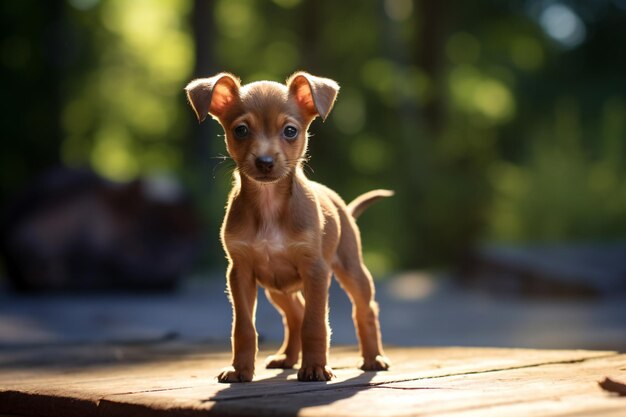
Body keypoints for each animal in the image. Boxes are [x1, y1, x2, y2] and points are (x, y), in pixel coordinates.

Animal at [184, 71, 390, 380]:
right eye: (241, 130)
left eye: (290, 131)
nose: (265, 161)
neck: (269, 205)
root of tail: (342, 205)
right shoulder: (240, 272)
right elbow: (244, 328)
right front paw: (239, 369)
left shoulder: (315, 270)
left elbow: (315, 324)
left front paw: (315, 367)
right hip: (276, 288)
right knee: (294, 314)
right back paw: (288, 357)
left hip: (352, 270)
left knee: (365, 309)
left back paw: (373, 357)